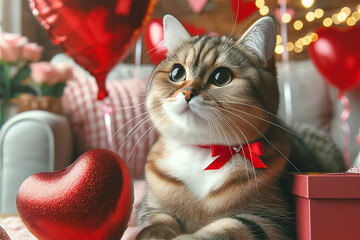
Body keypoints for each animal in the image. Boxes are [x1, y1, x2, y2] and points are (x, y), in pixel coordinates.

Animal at [136, 15, 346, 240]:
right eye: (176, 73)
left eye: (220, 77)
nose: (188, 92)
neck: (205, 151)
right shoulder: (150, 207)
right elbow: (156, 222)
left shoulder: (273, 219)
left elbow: (230, 227)